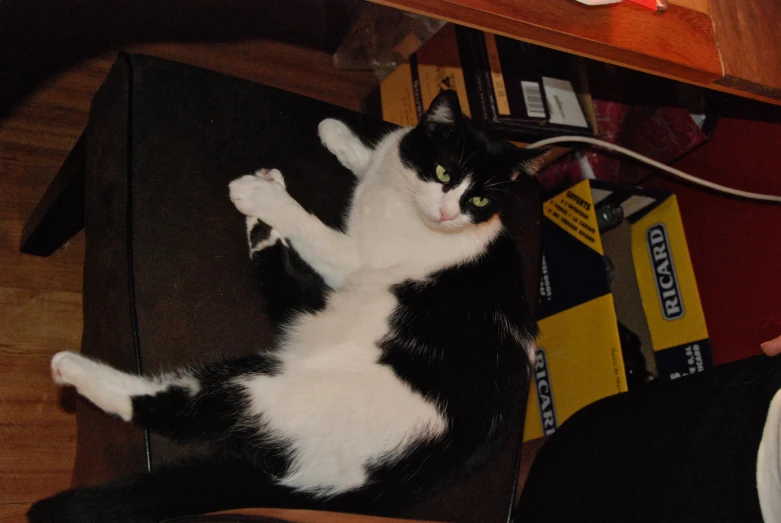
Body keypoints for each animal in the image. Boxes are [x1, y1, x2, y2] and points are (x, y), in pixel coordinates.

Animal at [29, 91, 544, 523]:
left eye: (479, 199)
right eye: (443, 174)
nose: (447, 213)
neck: (402, 200)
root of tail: (367, 492)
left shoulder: (354, 259)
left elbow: (311, 225)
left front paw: (267, 196)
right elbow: (377, 154)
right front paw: (340, 137)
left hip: (273, 387)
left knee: (186, 407)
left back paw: (74, 368)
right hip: (316, 317)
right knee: (281, 285)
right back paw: (263, 216)